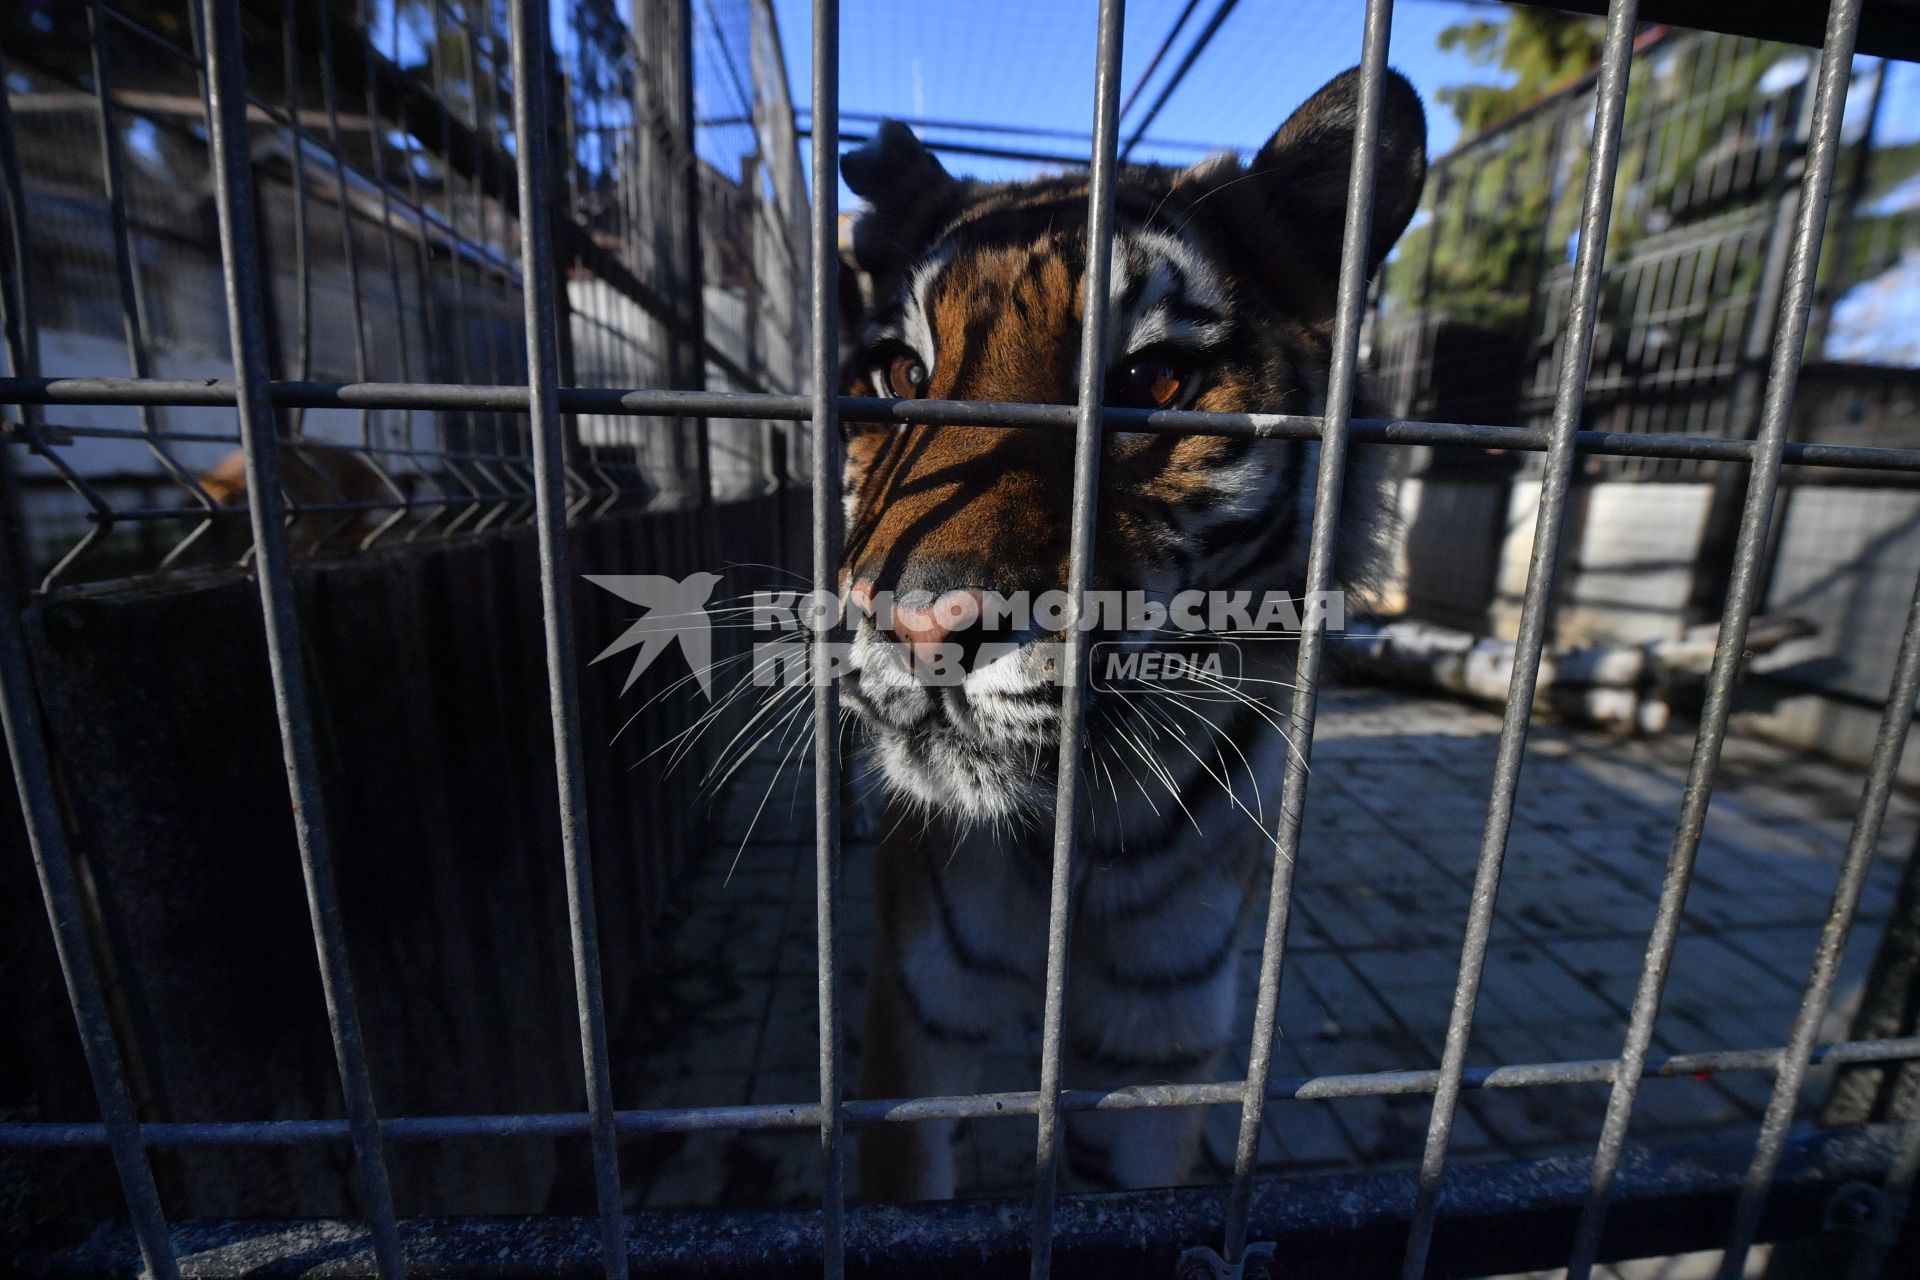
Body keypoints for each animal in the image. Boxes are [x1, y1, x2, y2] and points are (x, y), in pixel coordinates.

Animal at [829, 65, 1428, 1205]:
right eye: (899, 376)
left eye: (1151, 385)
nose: (920, 625)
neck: (1072, 839)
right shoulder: (915, 1023)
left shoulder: (1160, 1038)